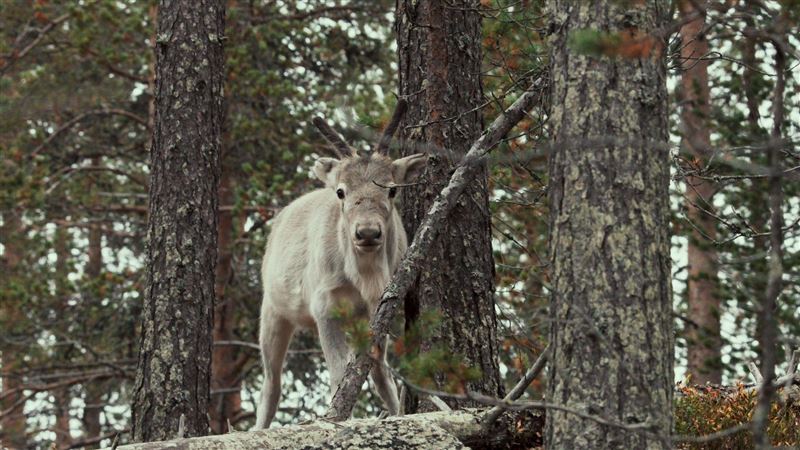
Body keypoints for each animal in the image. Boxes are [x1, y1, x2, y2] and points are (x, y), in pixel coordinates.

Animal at [253, 100, 427, 429]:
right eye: (341, 191)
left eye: (392, 189)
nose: (368, 232)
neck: (363, 279)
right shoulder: (324, 305)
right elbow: (338, 373)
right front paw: (337, 417)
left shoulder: (380, 307)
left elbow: (379, 369)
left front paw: (395, 412)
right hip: (272, 309)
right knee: (271, 382)